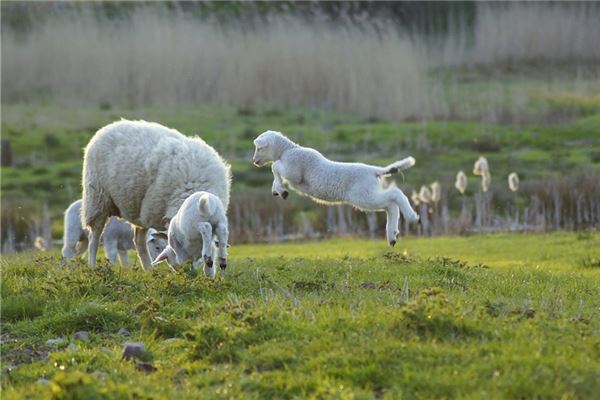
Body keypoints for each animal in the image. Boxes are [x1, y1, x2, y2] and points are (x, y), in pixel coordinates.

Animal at [79, 119, 230, 268]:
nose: (183, 269)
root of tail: (109, 126)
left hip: (139, 210)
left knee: (139, 242)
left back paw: (148, 269)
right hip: (97, 199)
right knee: (94, 237)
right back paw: (92, 265)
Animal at [252, 130, 418, 245]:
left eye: (259, 148)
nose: (254, 161)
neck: (287, 151)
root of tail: (374, 170)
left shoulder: (294, 171)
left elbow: (275, 166)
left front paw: (280, 189)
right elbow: (276, 172)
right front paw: (278, 190)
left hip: (365, 196)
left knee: (395, 194)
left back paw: (412, 217)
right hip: (369, 195)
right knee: (390, 206)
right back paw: (392, 236)